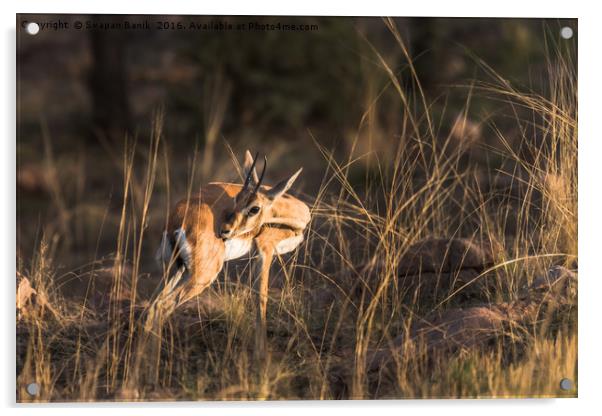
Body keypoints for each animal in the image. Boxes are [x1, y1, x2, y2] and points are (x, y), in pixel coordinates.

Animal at [146, 151, 310, 360]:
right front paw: (262, 356)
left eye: (254, 207)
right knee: (162, 306)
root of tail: (176, 221)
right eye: (236, 200)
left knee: (152, 307)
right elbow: (261, 299)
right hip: (202, 275)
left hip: (177, 269)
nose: (224, 231)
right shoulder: (265, 250)